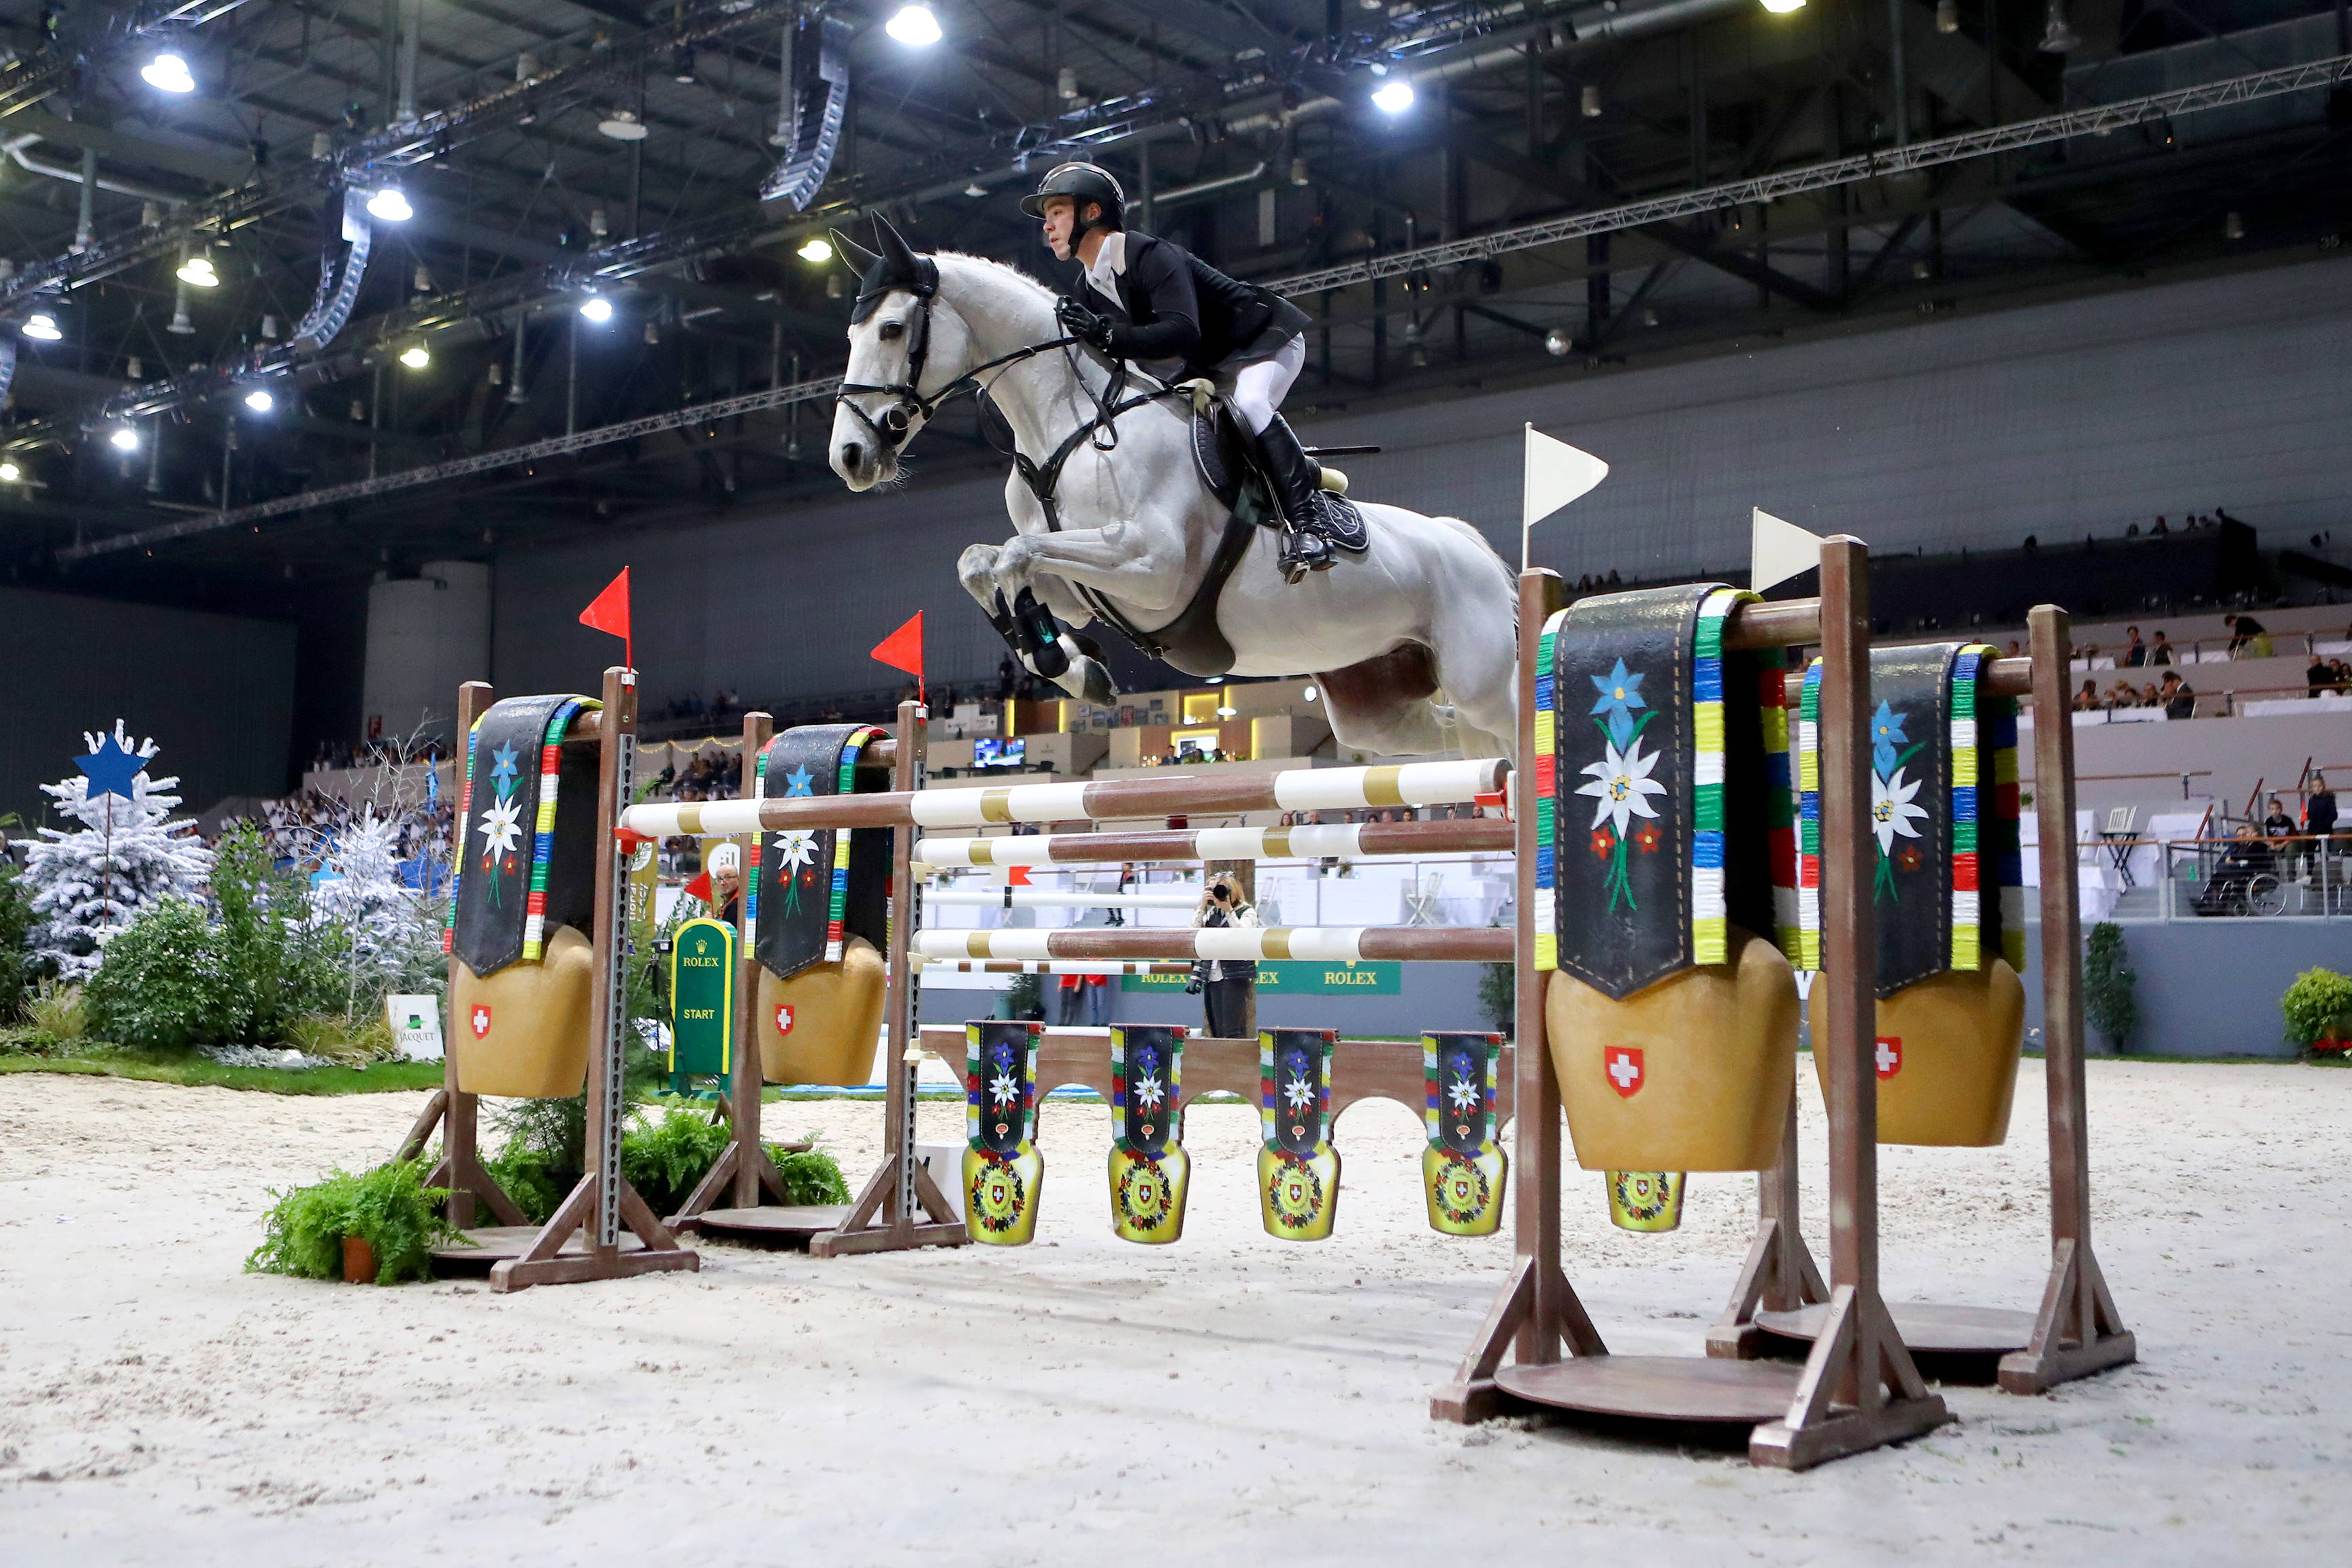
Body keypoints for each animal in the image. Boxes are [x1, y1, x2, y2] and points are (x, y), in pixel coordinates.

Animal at [828, 227, 1524, 766]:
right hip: (1373, 698)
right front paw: (1074, 667)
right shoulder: (1081, 590)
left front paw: (1063, 660)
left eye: (892, 329)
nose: (849, 458)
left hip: (1484, 680)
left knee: (1510, 731)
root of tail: (1472, 548)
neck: (1067, 423)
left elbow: (1016, 553)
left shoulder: (1150, 566)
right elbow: (985, 562)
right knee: (1453, 737)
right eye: (851, 335)